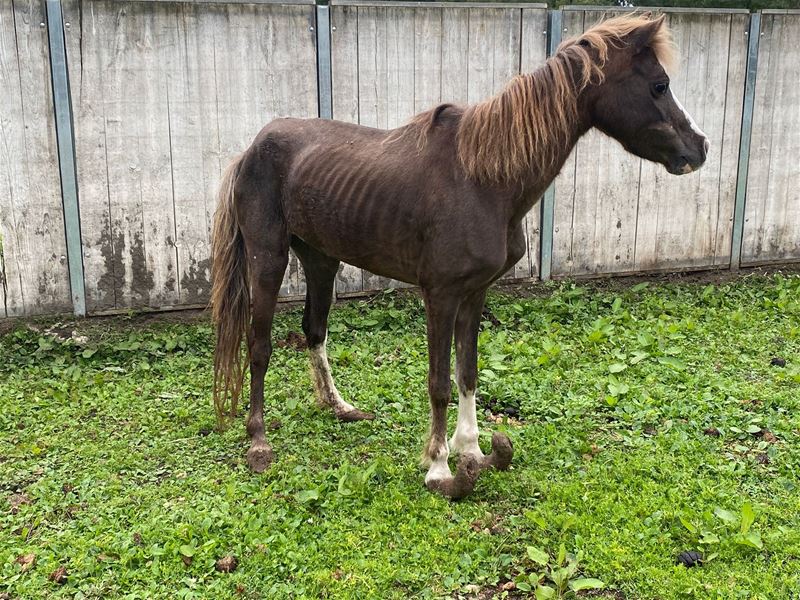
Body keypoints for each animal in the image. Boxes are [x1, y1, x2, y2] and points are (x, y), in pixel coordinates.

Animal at [209, 14, 708, 500]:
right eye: (659, 85)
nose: (700, 148)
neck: (483, 178)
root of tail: (252, 148)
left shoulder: (475, 293)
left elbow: (468, 373)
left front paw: (473, 451)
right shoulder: (441, 295)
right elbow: (440, 383)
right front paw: (439, 468)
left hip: (321, 259)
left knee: (314, 331)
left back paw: (339, 407)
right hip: (268, 258)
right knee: (259, 345)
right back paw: (258, 442)